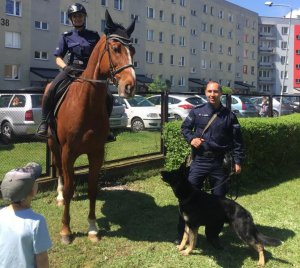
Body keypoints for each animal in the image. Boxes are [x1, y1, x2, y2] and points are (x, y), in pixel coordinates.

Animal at [45, 11, 136, 245]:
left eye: (132, 50)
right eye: (116, 48)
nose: (130, 87)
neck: (86, 104)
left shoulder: (96, 152)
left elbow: (93, 188)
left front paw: (93, 228)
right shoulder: (68, 152)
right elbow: (69, 187)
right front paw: (66, 230)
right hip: (54, 144)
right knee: (60, 172)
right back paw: (60, 196)